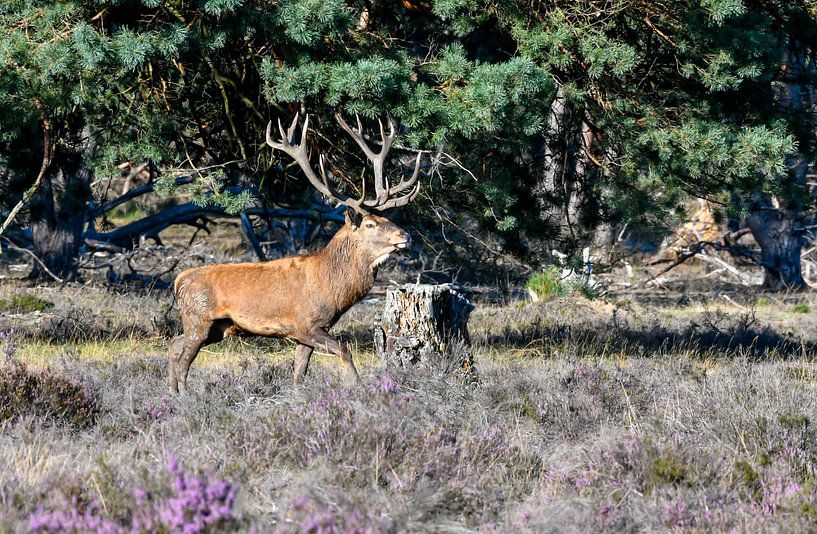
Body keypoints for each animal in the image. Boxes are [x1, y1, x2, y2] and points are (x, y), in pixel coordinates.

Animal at [167, 112, 422, 392]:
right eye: (370, 224)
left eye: (386, 218)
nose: (406, 236)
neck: (331, 288)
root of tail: (179, 281)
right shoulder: (305, 324)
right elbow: (344, 351)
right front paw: (359, 386)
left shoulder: (307, 333)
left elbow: (299, 371)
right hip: (198, 318)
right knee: (183, 360)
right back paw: (185, 396)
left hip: (217, 327)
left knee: (174, 344)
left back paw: (171, 392)